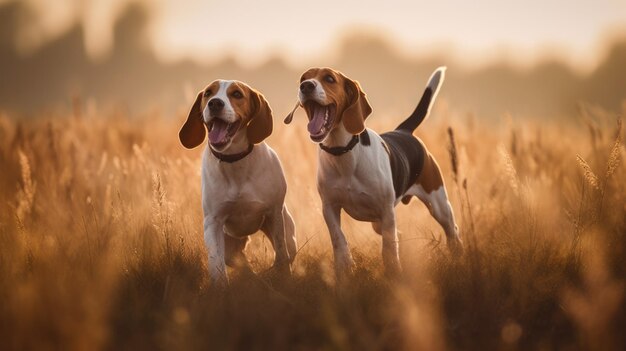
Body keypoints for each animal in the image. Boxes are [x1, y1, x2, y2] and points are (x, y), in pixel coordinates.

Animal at [179, 80, 296, 286]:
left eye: (237, 94)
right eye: (208, 93)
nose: (215, 103)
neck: (234, 160)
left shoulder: (274, 213)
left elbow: (282, 254)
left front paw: (284, 278)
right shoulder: (213, 222)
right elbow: (216, 264)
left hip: (289, 234)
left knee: (286, 251)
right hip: (231, 248)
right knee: (243, 266)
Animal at [286, 68, 460, 278]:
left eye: (329, 78)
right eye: (303, 78)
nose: (306, 86)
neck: (343, 151)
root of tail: (404, 130)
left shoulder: (386, 210)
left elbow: (389, 248)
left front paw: (394, 273)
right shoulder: (329, 207)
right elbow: (339, 238)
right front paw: (345, 267)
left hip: (437, 204)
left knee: (451, 230)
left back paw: (458, 257)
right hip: (379, 222)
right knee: (399, 234)